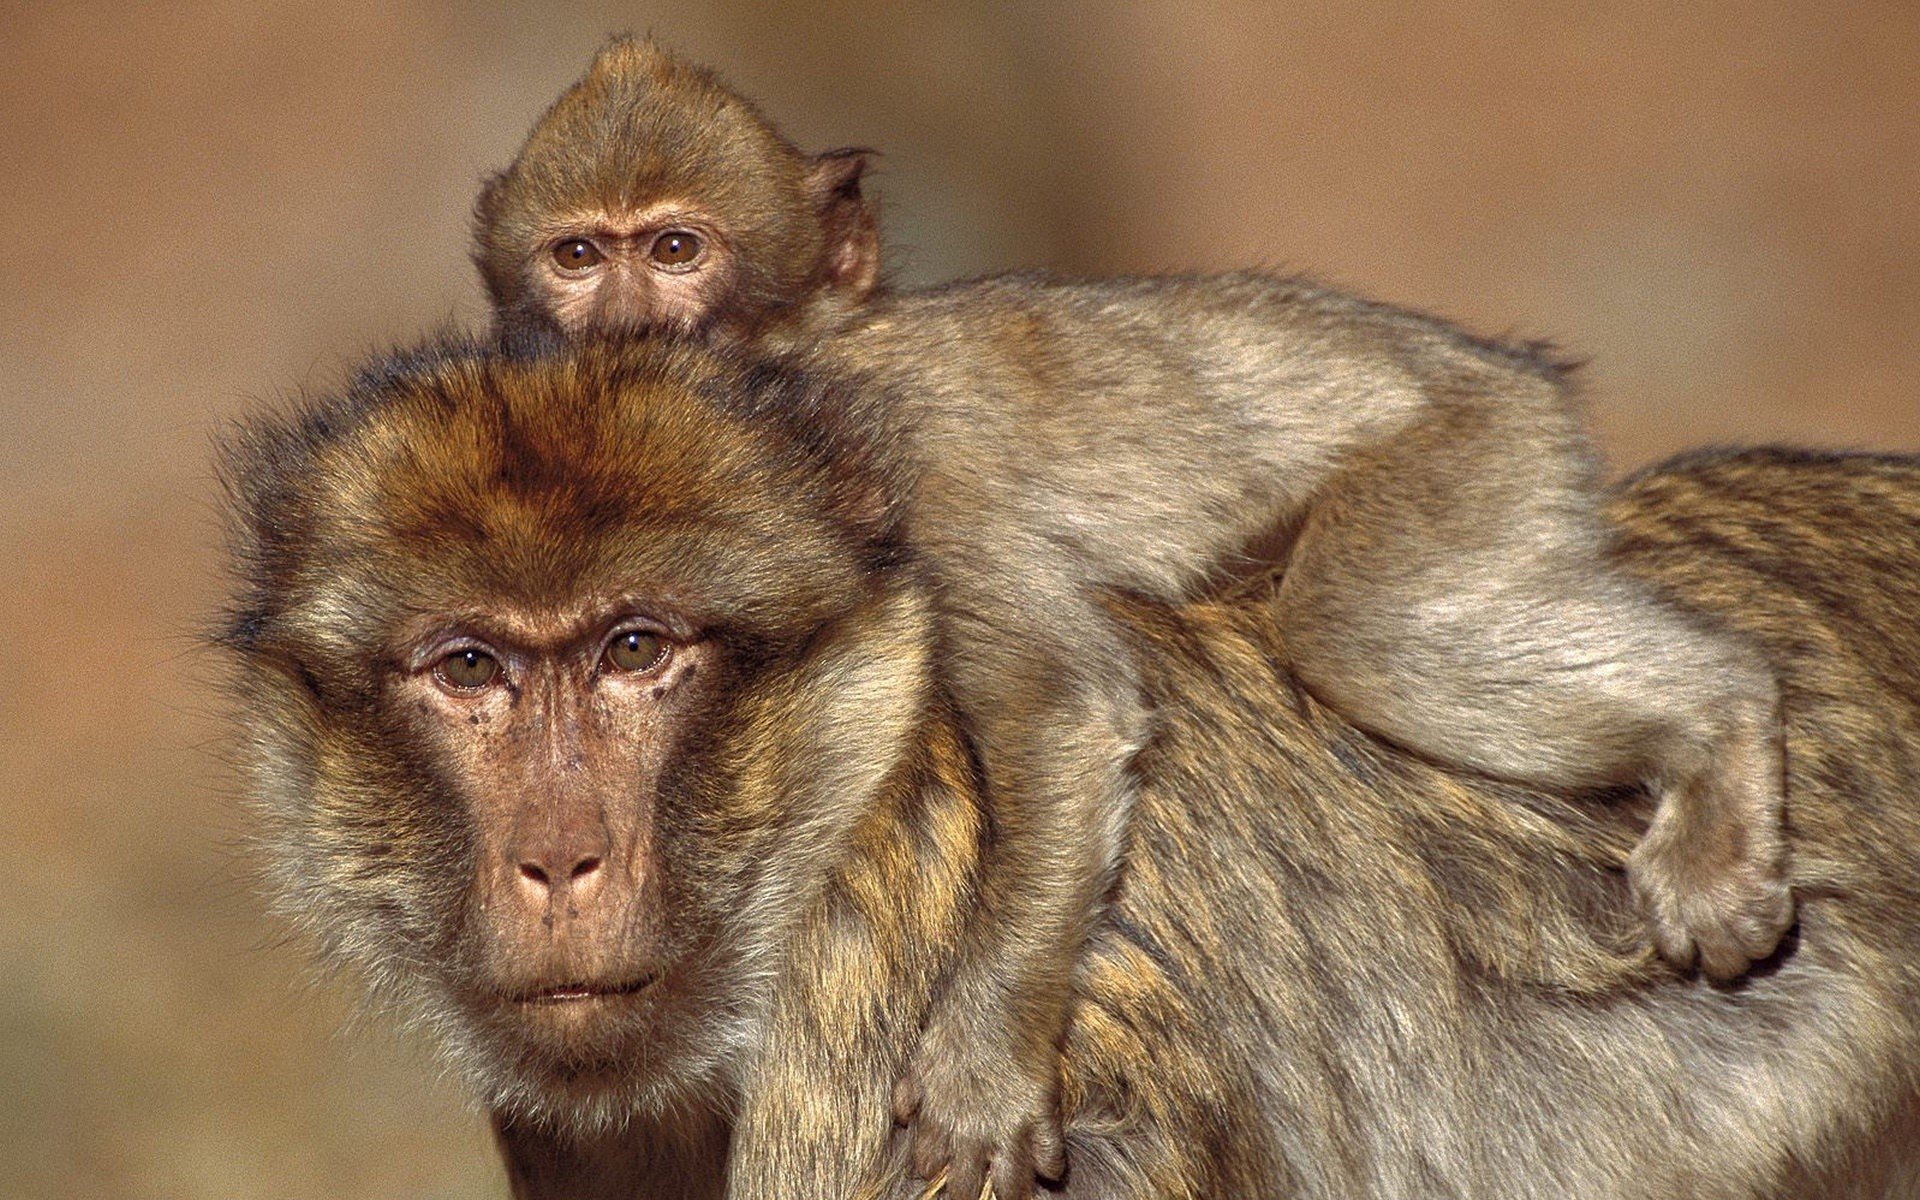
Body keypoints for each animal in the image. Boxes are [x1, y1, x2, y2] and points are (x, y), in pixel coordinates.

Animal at [465, 40, 1796, 1198]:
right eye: (577, 256)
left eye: (676, 249)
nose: (624, 324)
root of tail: (1508, 371)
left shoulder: (909, 456)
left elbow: (1063, 710)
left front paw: (982, 1068)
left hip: (1470, 458)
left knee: (1358, 625)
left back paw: (1723, 722)